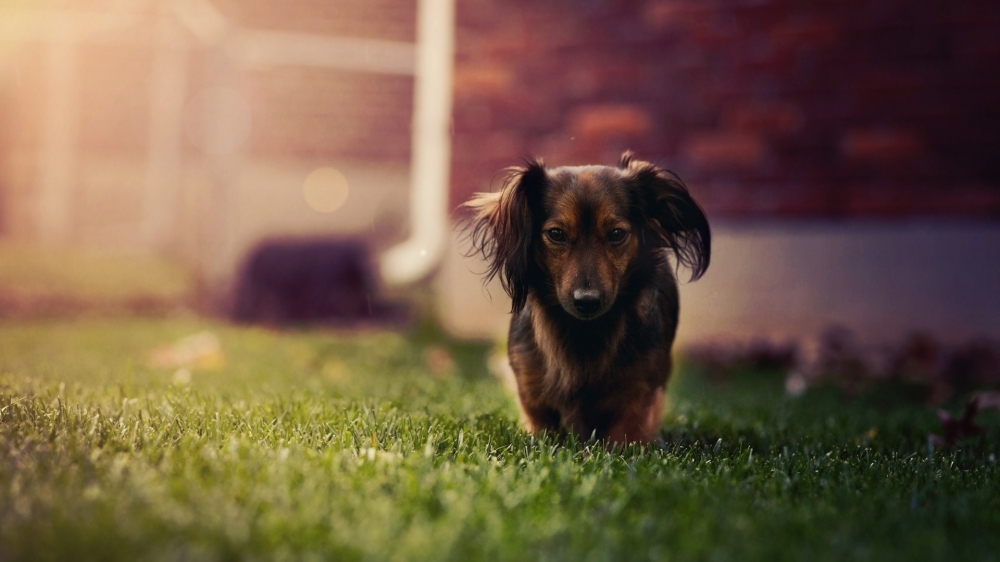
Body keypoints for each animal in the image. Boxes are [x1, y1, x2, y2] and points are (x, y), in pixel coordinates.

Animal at [466, 152, 712, 442]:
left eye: (617, 234)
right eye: (556, 234)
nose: (587, 301)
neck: (583, 332)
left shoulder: (639, 396)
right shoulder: (532, 396)